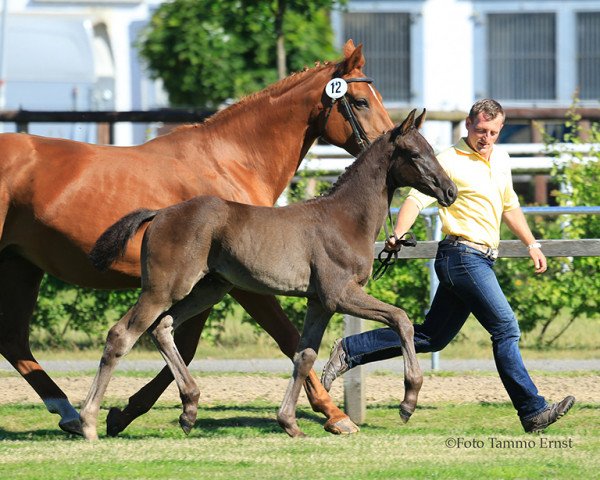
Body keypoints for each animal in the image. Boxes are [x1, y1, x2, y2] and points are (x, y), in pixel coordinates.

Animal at [0, 40, 392, 436]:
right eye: (361, 101)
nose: (389, 142)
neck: (230, 161)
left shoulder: (212, 281)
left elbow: (181, 343)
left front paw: (131, 411)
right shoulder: (245, 284)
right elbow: (287, 338)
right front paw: (334, 414)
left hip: (21, 267)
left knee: (14, 340)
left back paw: (67, 411)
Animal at [82, 110, 458, 440]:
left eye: (430, 149)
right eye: (414, 153)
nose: (449, 191)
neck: (344, 219)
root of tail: (159, 213)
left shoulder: (320, 303)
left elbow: (304, 356)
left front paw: (289, 422)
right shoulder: (340, 294)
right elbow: (401, 319)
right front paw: (408, 401)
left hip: (209, 288)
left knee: (163, 327)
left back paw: (188, 410)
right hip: (164, 288)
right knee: (122, 335)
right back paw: (87, 422)